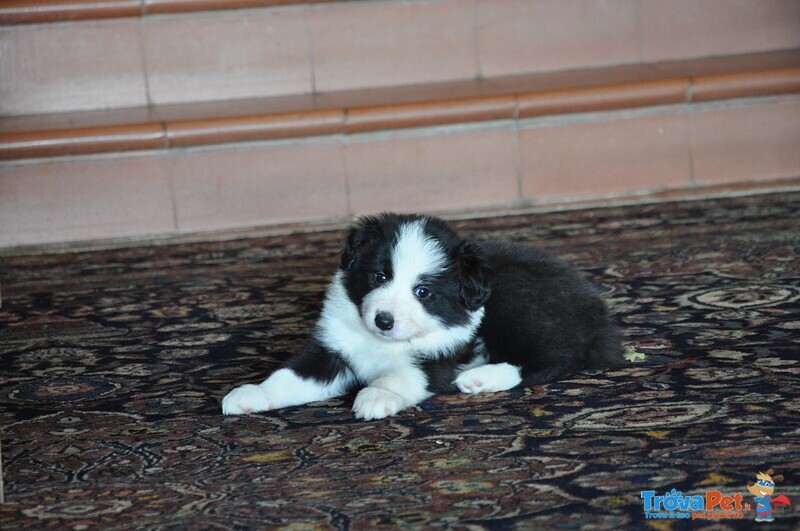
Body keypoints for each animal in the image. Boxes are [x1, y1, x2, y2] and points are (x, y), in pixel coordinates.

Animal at [220, 214, 624, 422]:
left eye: (423, 292)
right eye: (379, 276)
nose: (383, 320)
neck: (383, 344)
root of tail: (596, 312)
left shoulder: (438, 359)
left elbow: (401, 375)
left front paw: (375, 396)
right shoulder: (332, 350)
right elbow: (290, 376)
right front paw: (251, 394)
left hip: (518, 305)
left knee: (551, 360)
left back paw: (480, 377)